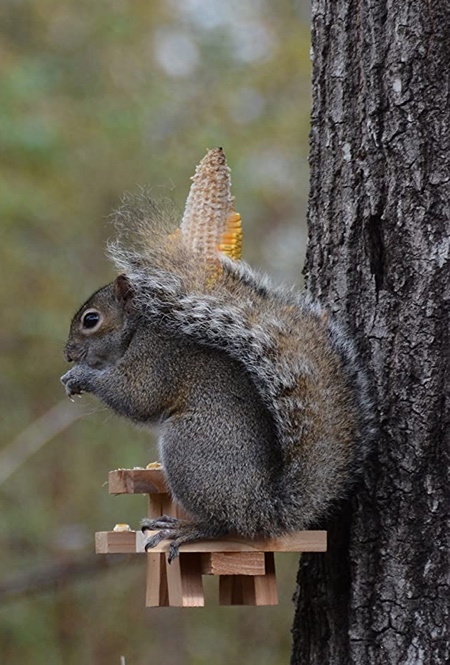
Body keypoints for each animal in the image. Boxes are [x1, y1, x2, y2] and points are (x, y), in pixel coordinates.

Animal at [60, 149, 376, 560]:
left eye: (91, 320)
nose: (67, 354)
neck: (138, 330)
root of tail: (263, 509)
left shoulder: (156, 359)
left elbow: (137, 397)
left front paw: (82, 376)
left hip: (189, 450)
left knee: (222, 524)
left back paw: (185, 530)